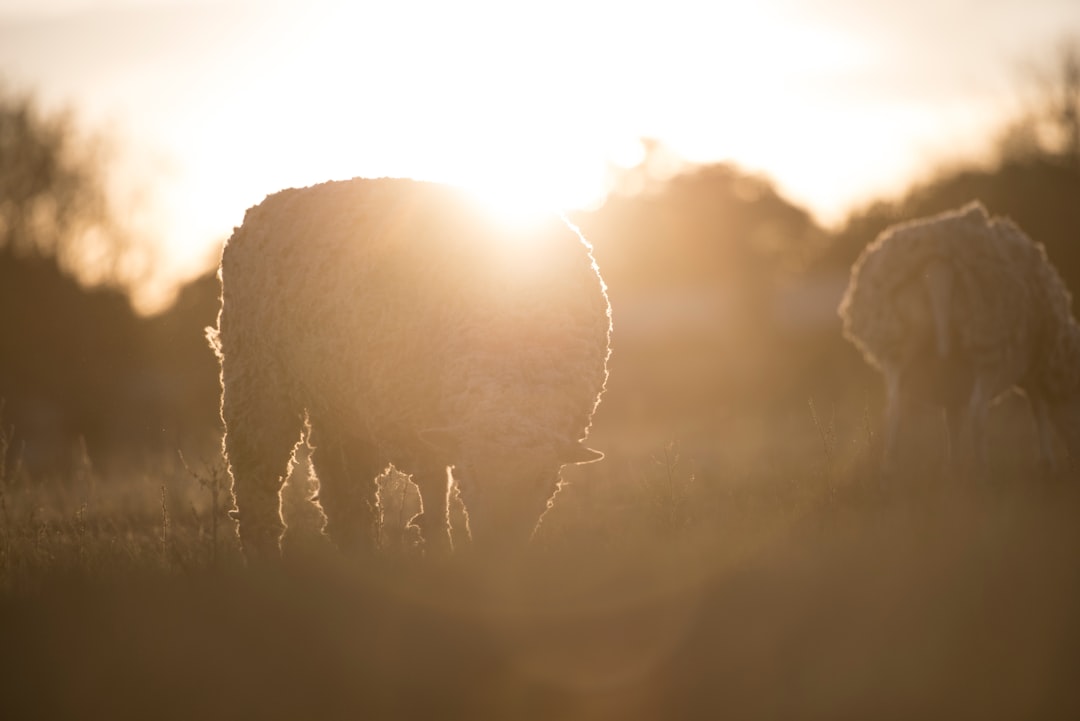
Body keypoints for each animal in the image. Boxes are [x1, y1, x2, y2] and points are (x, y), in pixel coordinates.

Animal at [206, 175, 613, 556]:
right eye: (472, 473)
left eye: (542, 480)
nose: (495, 552)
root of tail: (265, 204)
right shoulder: (416, 422)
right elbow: (434, 498)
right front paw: (441, 554)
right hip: (256, 380)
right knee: (259, 477)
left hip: (338, 398)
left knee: (344, 490)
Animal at [838, 199, 1080, 481]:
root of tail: (938, 262)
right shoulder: (1035, 366)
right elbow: (1038, 410)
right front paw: (1046, 463)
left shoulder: (951, 379)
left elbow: (951, 420)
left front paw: (952, 467)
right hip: (988, 342)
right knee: (977, 413)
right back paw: (984, 473)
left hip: (897, 346)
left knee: (894, 411)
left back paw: (890, 472)